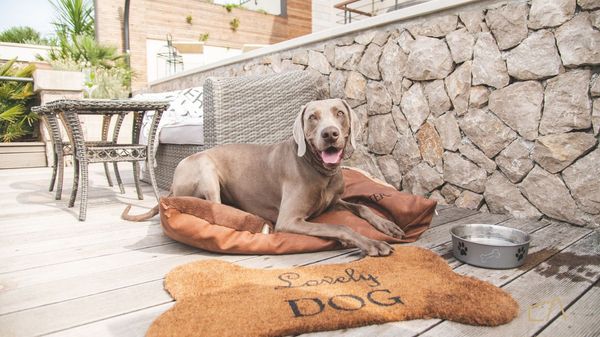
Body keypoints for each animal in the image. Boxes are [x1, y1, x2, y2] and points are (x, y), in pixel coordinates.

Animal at [122, 98, 404, 256]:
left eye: (340, 113)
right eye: (313, 117)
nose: (330, 134)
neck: (321, 171)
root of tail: (170, 188)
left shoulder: (334, 202)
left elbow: (361, 207)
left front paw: (387, 225)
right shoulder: (290, 220)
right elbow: (339, 226)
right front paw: (371, 243)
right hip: (205, 168)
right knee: (216, 210)